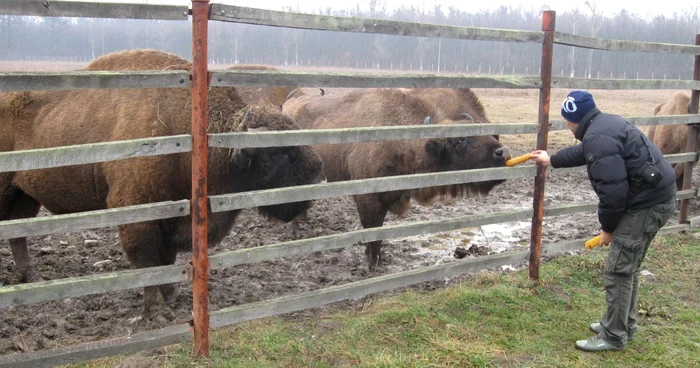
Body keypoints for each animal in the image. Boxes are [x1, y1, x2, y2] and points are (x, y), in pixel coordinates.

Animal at [0, 49, 326, 314]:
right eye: (279, 151)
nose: (319, 173)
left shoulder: (173, 220)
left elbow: (166, 260)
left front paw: (170, 295)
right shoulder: (137, 214)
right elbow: (148, 261)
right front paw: (155, 308)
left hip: (25, 195)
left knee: (19, 233)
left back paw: (30, 276)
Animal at [284, 87, 508, 268]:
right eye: (459, 141)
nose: (502, 152)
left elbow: (378, 230)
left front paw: (375, 257)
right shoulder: (368, 199)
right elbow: (371, 229)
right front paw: (372, 263)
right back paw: (295, 231)